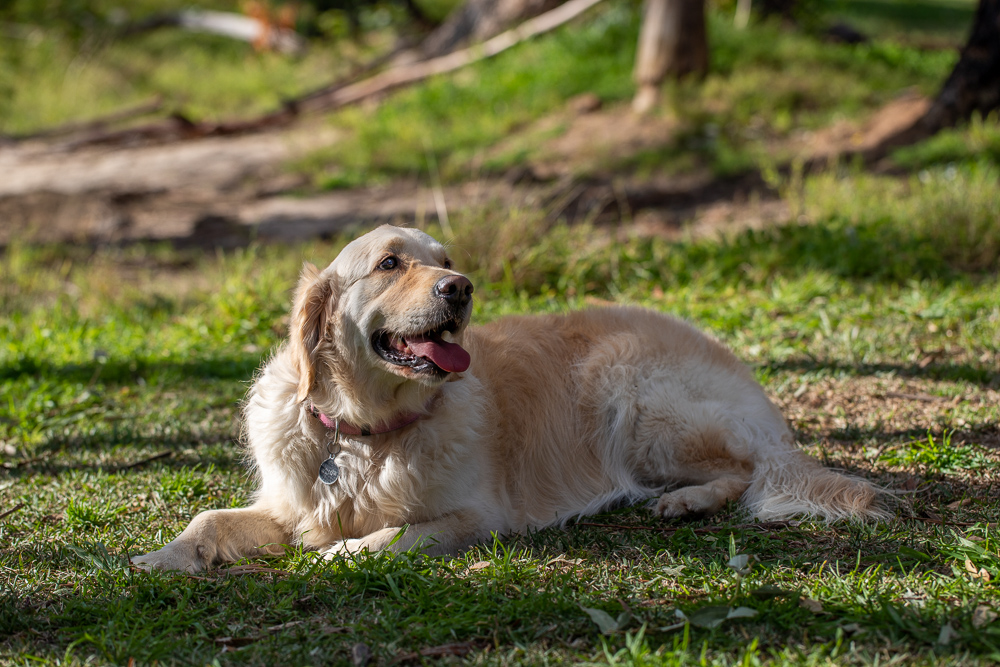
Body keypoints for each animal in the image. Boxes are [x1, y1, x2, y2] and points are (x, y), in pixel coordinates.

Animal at [131, 227, 884, 572]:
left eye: (444, 258)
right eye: (390, 263)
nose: (460, 287)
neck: (363, 432)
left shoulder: (475, 514)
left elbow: (385, 536)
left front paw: (330, 556)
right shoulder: (286, 502)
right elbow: (207, 517)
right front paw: (158, 560)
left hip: (634, 397)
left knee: (745, 469)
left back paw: (685, 500)